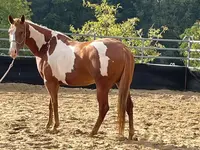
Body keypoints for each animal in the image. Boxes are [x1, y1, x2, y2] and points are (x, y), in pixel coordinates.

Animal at [8, 14, 136, 139]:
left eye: (21, 32)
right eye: (10, 31)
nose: (12, 52)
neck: (47, 47)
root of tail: (123, 49)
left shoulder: (49, 82)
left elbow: (54, 103)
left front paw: (55, 126)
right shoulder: (54, 83)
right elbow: (51, 104)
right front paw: (48, 125)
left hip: (102, 86)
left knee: (104, 107)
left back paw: (93, 132)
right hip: (122, 84)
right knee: (129, 106)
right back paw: (131, 134)